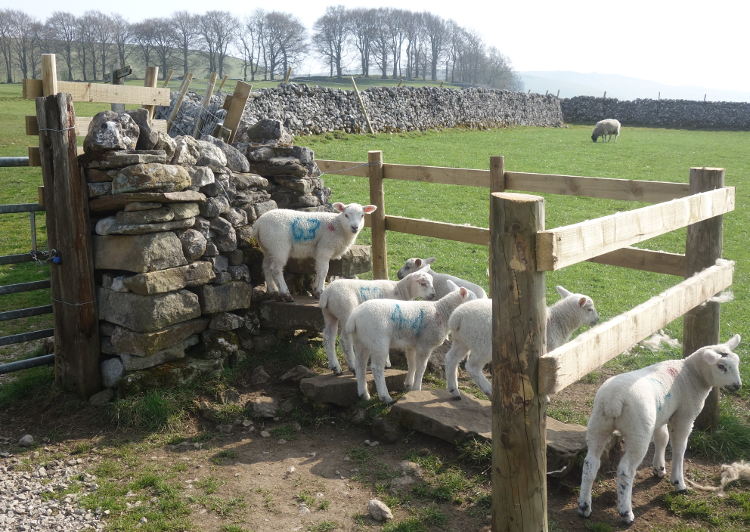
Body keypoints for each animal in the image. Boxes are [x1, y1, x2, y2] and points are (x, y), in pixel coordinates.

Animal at [346, 280, 476, 402]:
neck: (441, 311)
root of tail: (354, 317)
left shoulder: (412, 344)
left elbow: (412, 364)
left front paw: (409, 385)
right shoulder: (425, 343)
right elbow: (421, 367)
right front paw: (417, 388)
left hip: (361, 340)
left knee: (360, 364)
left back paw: (363, 394)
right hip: (377, 339)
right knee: (376, 368)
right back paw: (385, 396)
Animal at [446, 286, 600, 400]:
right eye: (589, 309)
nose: (597, 320)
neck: (556, 321)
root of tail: (457, 317)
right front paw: (545, 398)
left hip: (462, 340)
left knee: (451, 358)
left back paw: (454, 390)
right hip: (483, 345)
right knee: (472, 367)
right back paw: (488, 390)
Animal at [580, 334, 744, 524]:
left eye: (737, 363)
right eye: (721, 366)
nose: (737, 386)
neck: (691, 375)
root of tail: (614, 399)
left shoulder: (661, 416)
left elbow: (662, 438)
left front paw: (659, 468)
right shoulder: (684, 417)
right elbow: (679, 448)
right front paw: (678, 483)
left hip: (598, 424)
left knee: (590, 463)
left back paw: (584, 506)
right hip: (638, 431)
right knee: (625, 471)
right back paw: (626, 513)